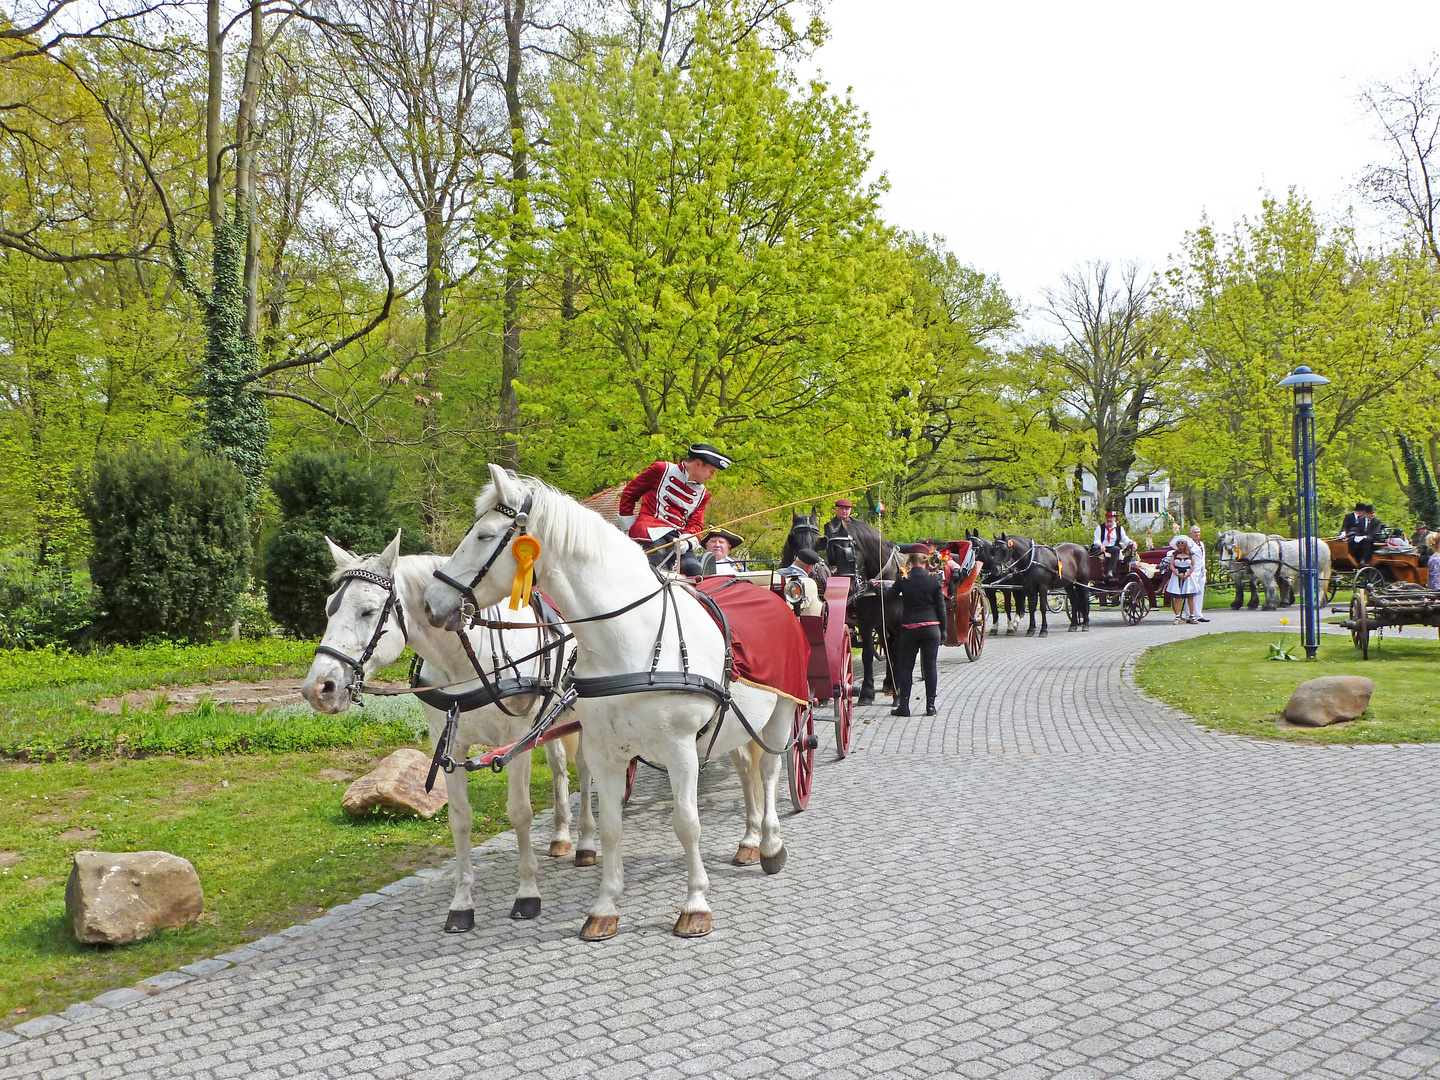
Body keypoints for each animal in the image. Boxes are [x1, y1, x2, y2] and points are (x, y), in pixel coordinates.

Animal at [300, 529, 593, 933]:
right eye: (330, 608)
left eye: (368, 611)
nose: (318, 689)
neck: (468, 661)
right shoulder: (450, 743)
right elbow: (460, 818)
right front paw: (461, 904)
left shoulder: (514, 740)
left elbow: (520, 812)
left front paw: (527, 894)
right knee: (561, 766)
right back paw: (562, 835)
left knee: (586, 771)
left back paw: (586, 843)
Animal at [423, 469, 800, 944]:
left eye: (485, 534)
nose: (432, 603)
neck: (630, 639)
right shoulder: (604, 751)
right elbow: (610, 827)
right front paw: (604, 907)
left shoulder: (680, 749)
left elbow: (687, 823)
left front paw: (695, 903)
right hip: (735, 726)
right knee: (748, 771)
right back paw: (749, 841)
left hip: (781, 714)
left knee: (768, 772)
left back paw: (770, 844)